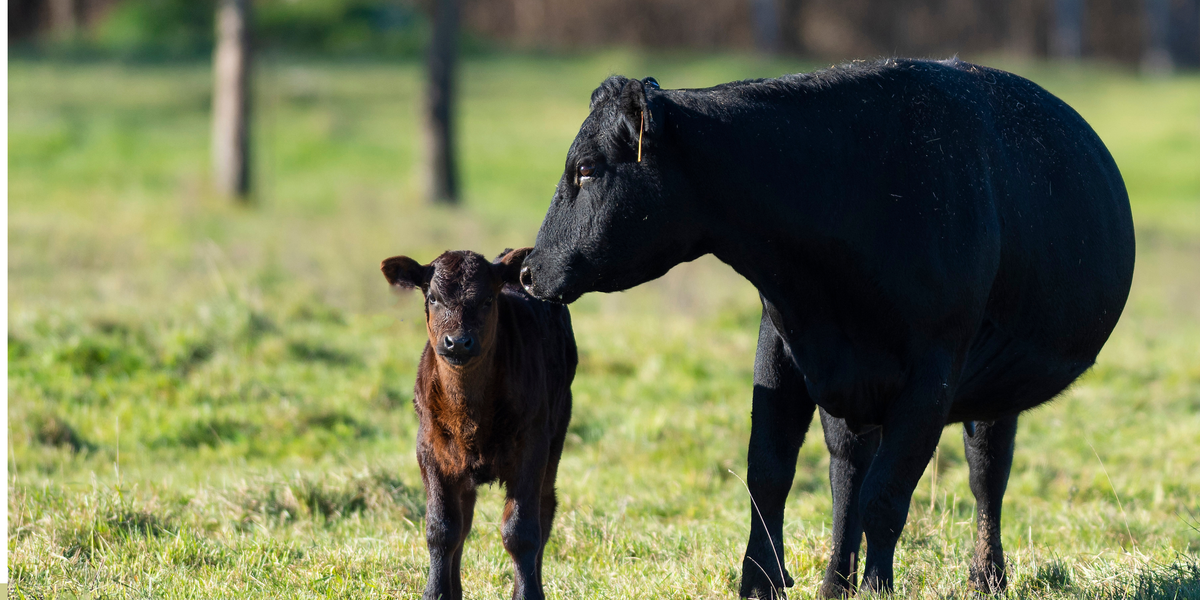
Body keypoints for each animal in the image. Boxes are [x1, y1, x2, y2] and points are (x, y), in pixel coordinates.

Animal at [382, 247, 578, 600]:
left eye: (488, 299)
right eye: (433, 297)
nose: (458, 342)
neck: (469, 412)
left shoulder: (532, 447)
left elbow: (521, 531)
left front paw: (527, 594)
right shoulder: (429, 449)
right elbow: (442, 529)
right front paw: (436, 593)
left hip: (556, 435)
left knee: (545, 510)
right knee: (463, 520)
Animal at [518, 58, 1135, 597]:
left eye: (586, 168)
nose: (529, 269)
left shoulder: (934, 373)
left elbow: (887, 496)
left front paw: (879, 588)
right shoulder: (782, 341)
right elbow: (770, 474)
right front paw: (760, 582)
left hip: (990, 382)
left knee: (985, 473)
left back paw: (986, 578)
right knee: (847, 477)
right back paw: (835, 584)